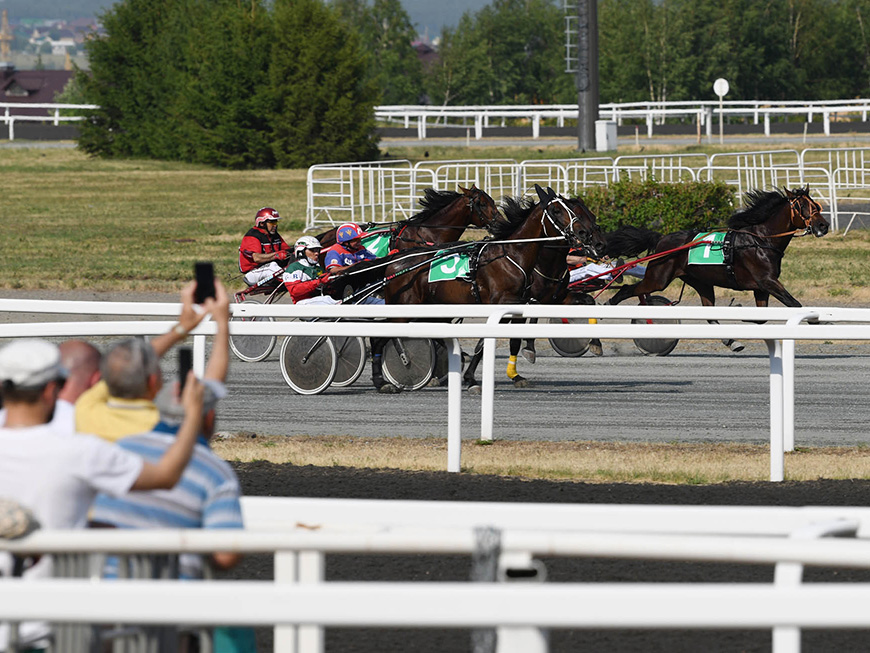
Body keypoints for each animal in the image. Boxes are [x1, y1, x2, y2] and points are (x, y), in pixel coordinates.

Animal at [372, 183, 608, 390]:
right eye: (557, 210)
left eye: (591, 215)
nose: (591, 239)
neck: (512, 256)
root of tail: (394, 263)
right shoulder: (508, 302)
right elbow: (491, 341)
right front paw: (472, 378)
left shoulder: (549, 298)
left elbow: (587, 301)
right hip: (404, 306)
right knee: (379, 337)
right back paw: (385, 379)